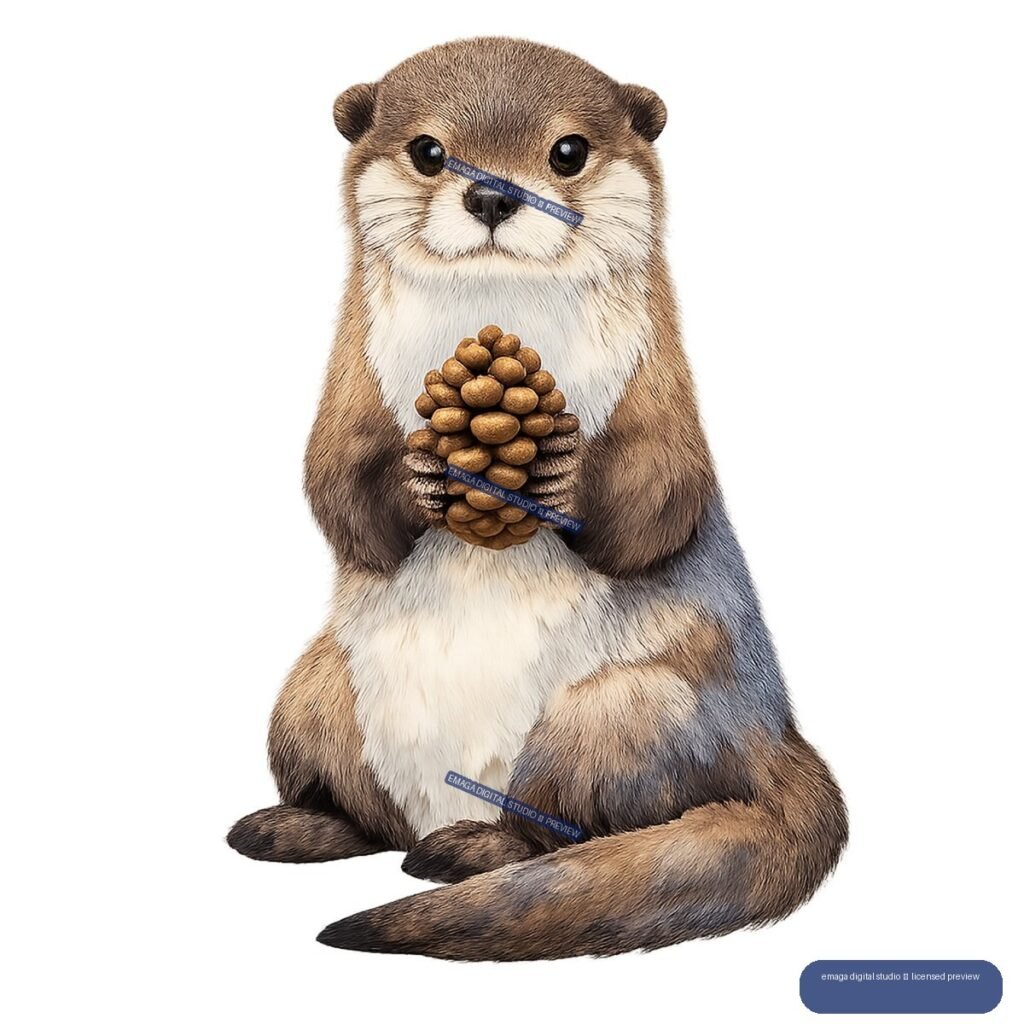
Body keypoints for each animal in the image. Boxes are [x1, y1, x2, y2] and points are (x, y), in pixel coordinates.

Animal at [227, 36, 847, 961]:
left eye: (567, 151)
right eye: (429, 150)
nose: (493, 192)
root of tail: (775, 738)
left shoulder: (663, 389)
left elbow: (664, 494)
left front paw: (565, 473)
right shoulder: (348, 383)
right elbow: (336, 490)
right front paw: (418, 470)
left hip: (620, 715)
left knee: (564, 823)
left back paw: (470, 848)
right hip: (314, 690)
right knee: (366, 815)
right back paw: (296, 826)